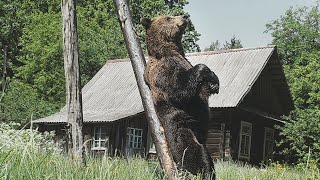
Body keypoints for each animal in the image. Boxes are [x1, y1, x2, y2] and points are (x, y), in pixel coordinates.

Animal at [141, 15, 219, 179]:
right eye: (168, 17)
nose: (185, 16)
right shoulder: (163, 72)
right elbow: (179, 90)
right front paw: (203, 69)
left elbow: (204, 87)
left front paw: (214, 82)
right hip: (181, 126)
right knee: (192, 152)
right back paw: (201, 172)